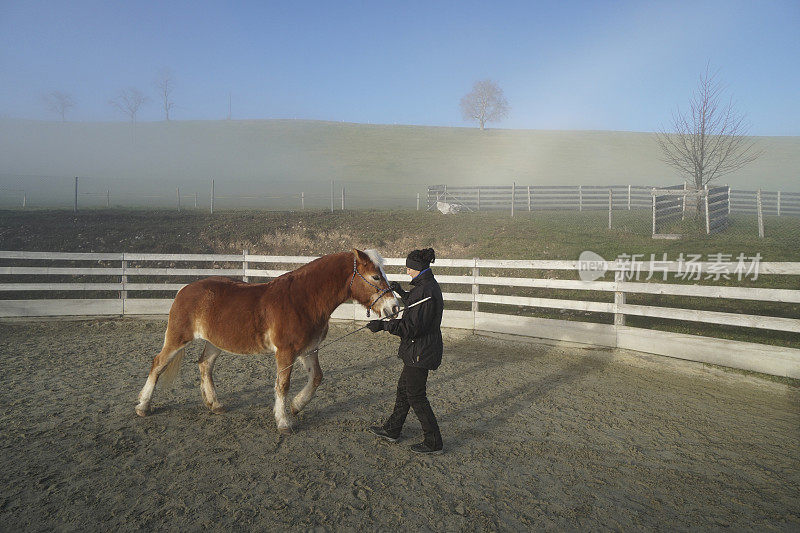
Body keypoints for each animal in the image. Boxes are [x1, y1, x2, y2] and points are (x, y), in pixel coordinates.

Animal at [138, 249, 404, 432]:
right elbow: (282, 385)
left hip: (215, 342)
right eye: (375, 277)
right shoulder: (285, 352)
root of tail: (184, 290)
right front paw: (284, 422)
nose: (394, 307)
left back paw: (215, 404)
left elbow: (316, 378)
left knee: (205, 365)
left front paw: (296, 406)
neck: (303, 299)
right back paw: (143, 406)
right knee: (158, 364)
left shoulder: (309, 350)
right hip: (177, 339)